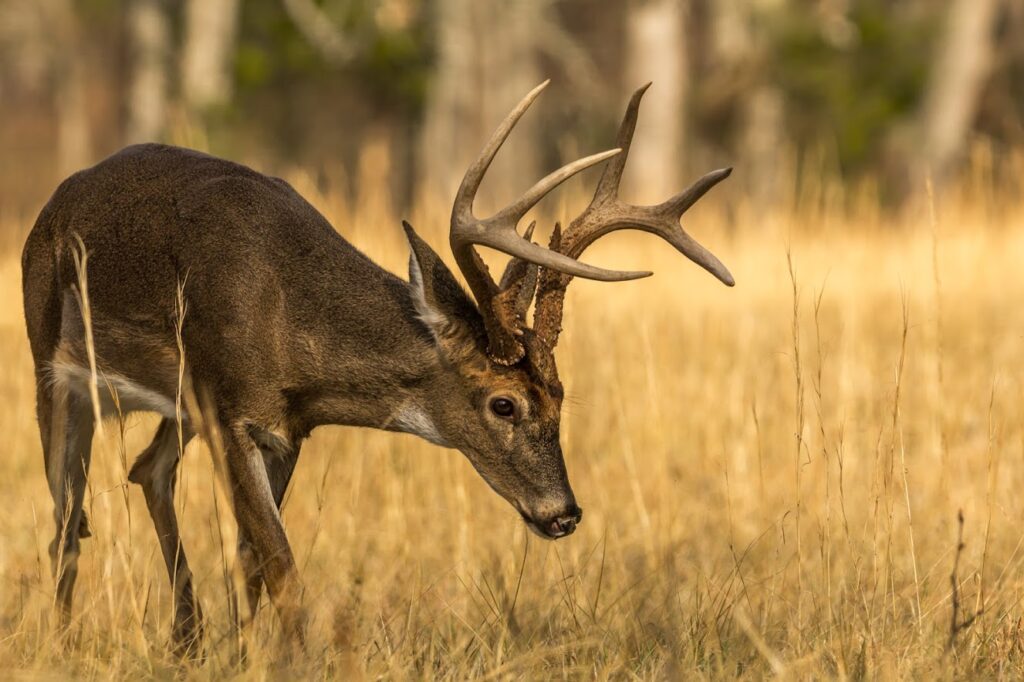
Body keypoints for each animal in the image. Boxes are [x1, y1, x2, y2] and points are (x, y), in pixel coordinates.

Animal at [21, 82, 734, 654]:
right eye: (503, 402)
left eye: (561, 397)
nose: (563, 514)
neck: (285, 312)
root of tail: (53, 202)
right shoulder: (229, 414)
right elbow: (282, 567)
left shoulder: (286, 427)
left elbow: (253, 560)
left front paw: (246, 658)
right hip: (51, 361)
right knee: (65, 522)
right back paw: (63, 644)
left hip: (177, 405)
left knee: (147, 470)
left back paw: (187, 640)